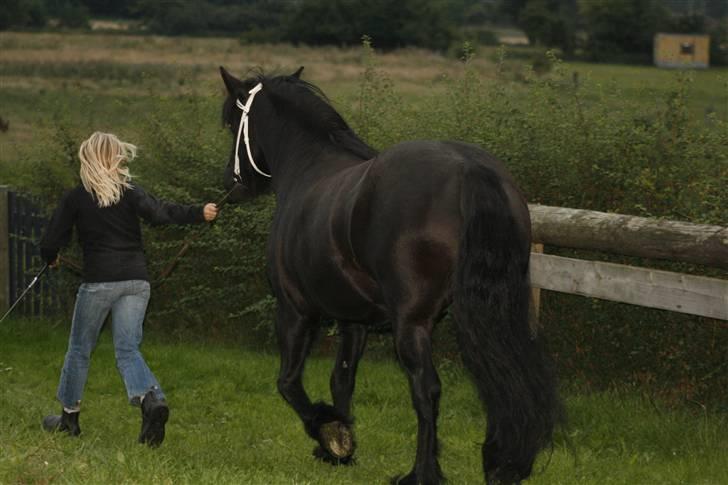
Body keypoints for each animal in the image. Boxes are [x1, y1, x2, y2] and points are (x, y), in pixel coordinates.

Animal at [219, 66, 562, 485]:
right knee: (505, 378)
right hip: (498, 307)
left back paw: (421, 472)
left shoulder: (295, 312)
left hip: (411, 324)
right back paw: (504, 462)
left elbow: (288, 382)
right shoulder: (353, 321)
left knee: (426, 389)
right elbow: (342, 379)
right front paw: (340, 449)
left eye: (232, 124)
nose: (231, 183)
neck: (309, 169)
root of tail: (470, 169)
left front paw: (331, 433)